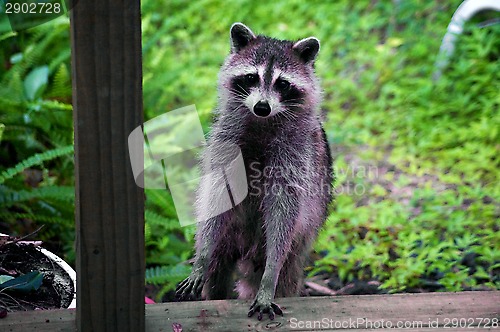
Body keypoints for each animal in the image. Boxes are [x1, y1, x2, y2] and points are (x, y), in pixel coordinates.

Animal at [174, 22, 334, 320]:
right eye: (251, 77)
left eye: (282, 83)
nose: (262, 107)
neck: (262, 123)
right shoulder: (226, 143)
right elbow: (218, 195)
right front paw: (200, 260)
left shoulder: (295, 156)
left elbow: (284, 211)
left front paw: (269, 278)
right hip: (229, 235)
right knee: (217, 268)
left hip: (300, 242)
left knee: (288, 271)